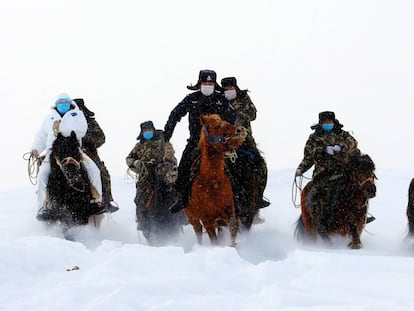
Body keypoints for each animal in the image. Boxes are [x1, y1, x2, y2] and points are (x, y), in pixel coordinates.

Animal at [186, 114, 247, 246]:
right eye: (216, 127)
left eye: (226, 121)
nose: (240, 130)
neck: (212, 181)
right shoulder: (207, 219)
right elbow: (214, 240)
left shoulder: (229, 211)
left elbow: (233, 227)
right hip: (192, 217)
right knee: (198, 231)